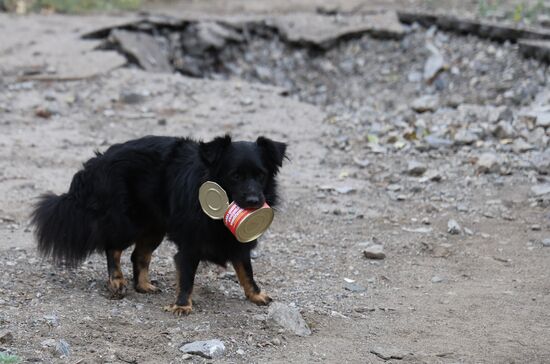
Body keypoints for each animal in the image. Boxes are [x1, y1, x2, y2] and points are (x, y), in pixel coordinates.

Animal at [31, 135, 286, 314]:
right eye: (235, 176)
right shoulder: (189, 247)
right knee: (112, 247)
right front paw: (182, 305)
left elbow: (246, 271)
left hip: (154, 228)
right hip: (127, 223)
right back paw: (117, 280)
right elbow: (187, 278)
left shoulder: (239, 244)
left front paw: (256, 294)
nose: (254, 201)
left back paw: (143, 285)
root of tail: (98, 160)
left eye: (260, 175)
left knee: (138, 255)